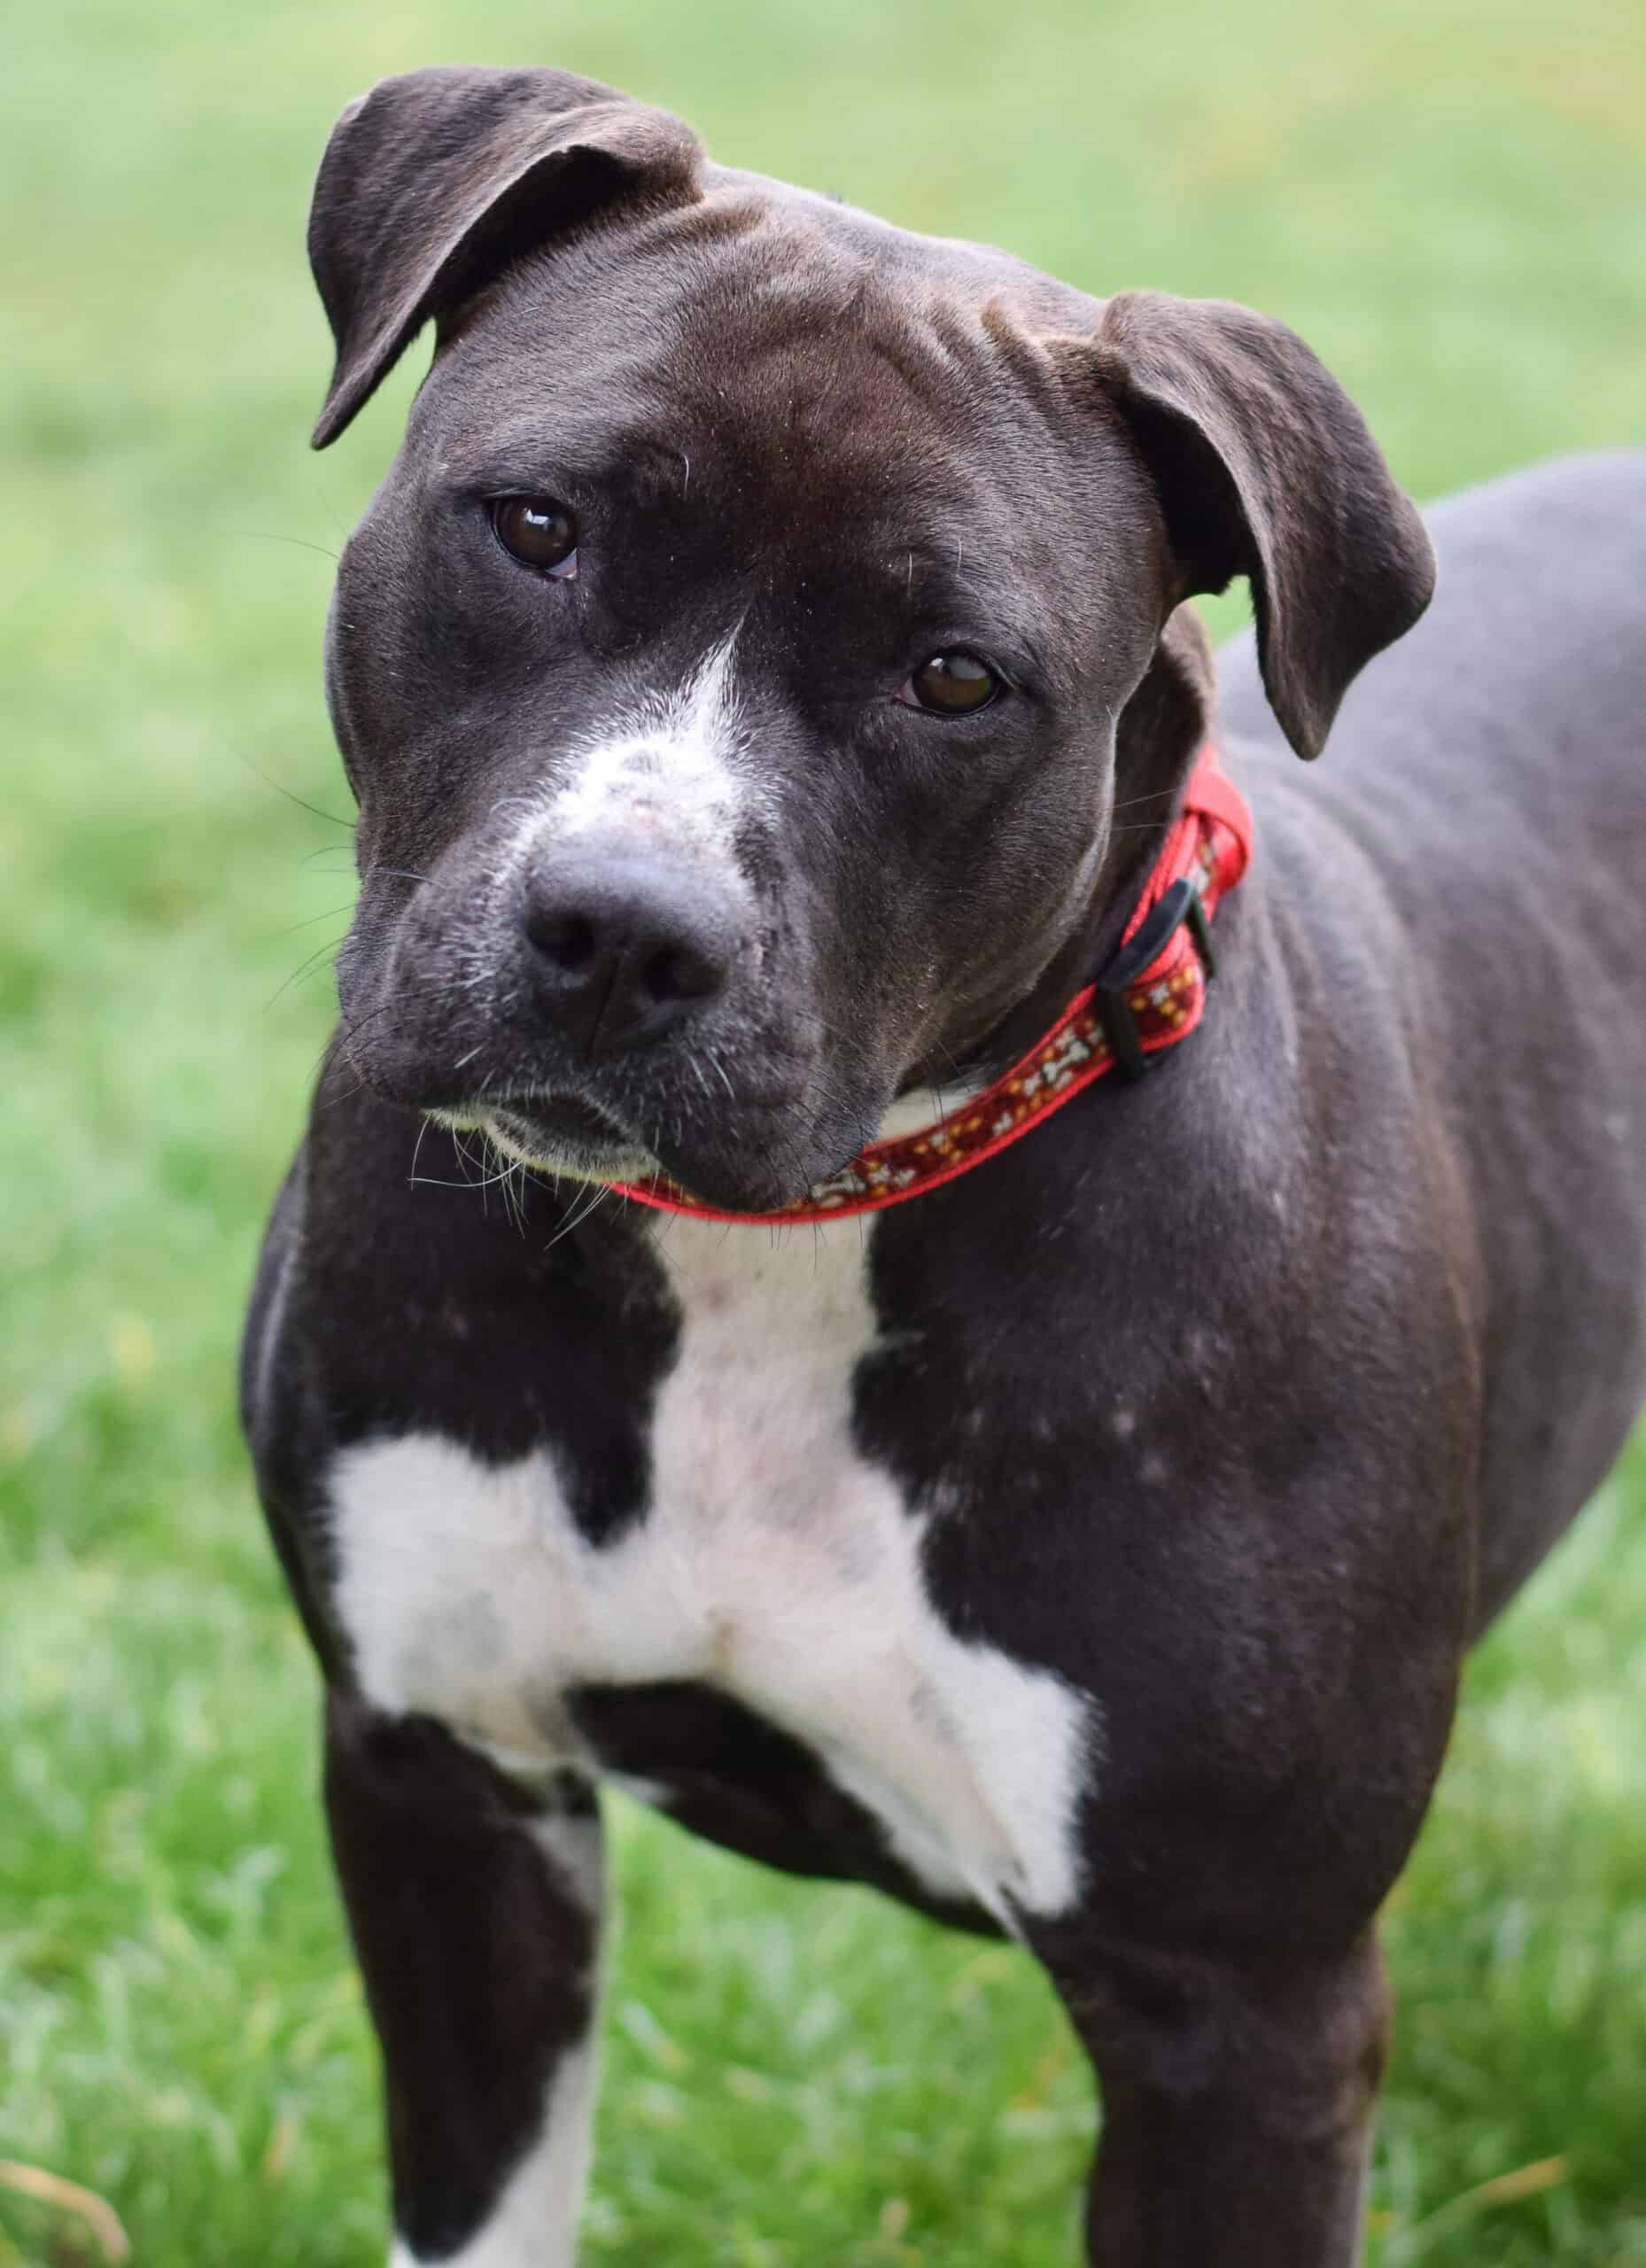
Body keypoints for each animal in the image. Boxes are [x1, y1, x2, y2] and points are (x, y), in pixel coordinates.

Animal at [242, 63, 1646, 2266]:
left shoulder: (1236, 2014)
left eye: (954, 677)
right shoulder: (442, 1784)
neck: (771, 1261)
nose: (619, 930)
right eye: (537, 527)